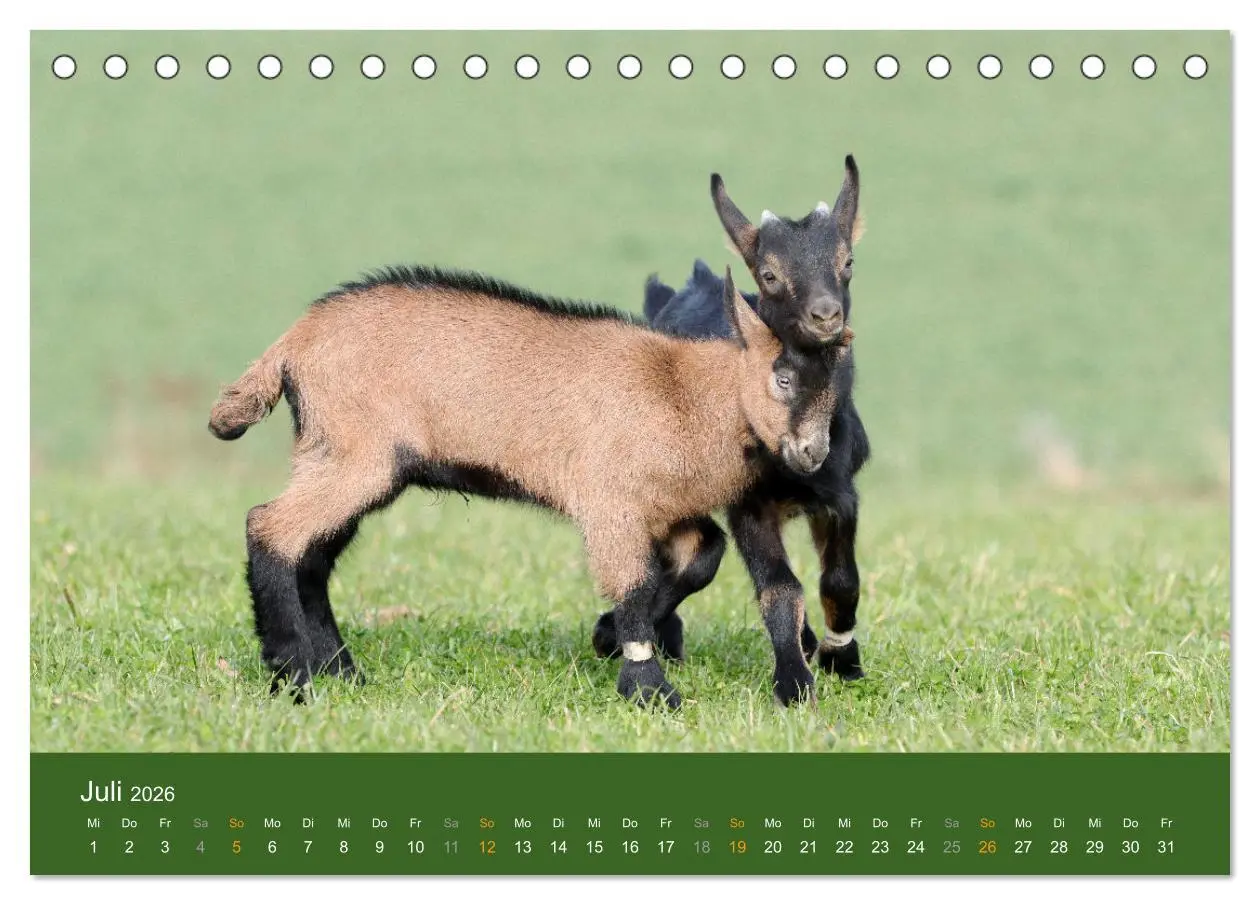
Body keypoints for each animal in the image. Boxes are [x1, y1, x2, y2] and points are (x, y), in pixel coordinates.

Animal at [209, 265, 849, 708]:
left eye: (835, 382)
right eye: (782, 376)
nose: (813, 453)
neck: (679, 390)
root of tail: (291, 345)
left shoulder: (666, 513)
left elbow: (703, 557)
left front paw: (606, 637)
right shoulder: (609, 503)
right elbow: (636, 585)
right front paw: (649, 691)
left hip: (342, 459)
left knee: (312, 558)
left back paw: (342, 671)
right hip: (355, 457)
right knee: (269, 527)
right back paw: (292, 676)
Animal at [591, 157, 869, 705]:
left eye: (847, 261)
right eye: (769, 273)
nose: (825, 315)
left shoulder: (839, 489)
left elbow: (840, 579)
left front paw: (840, 657)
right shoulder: (750, 503)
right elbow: (779, 588)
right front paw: (794, 682)